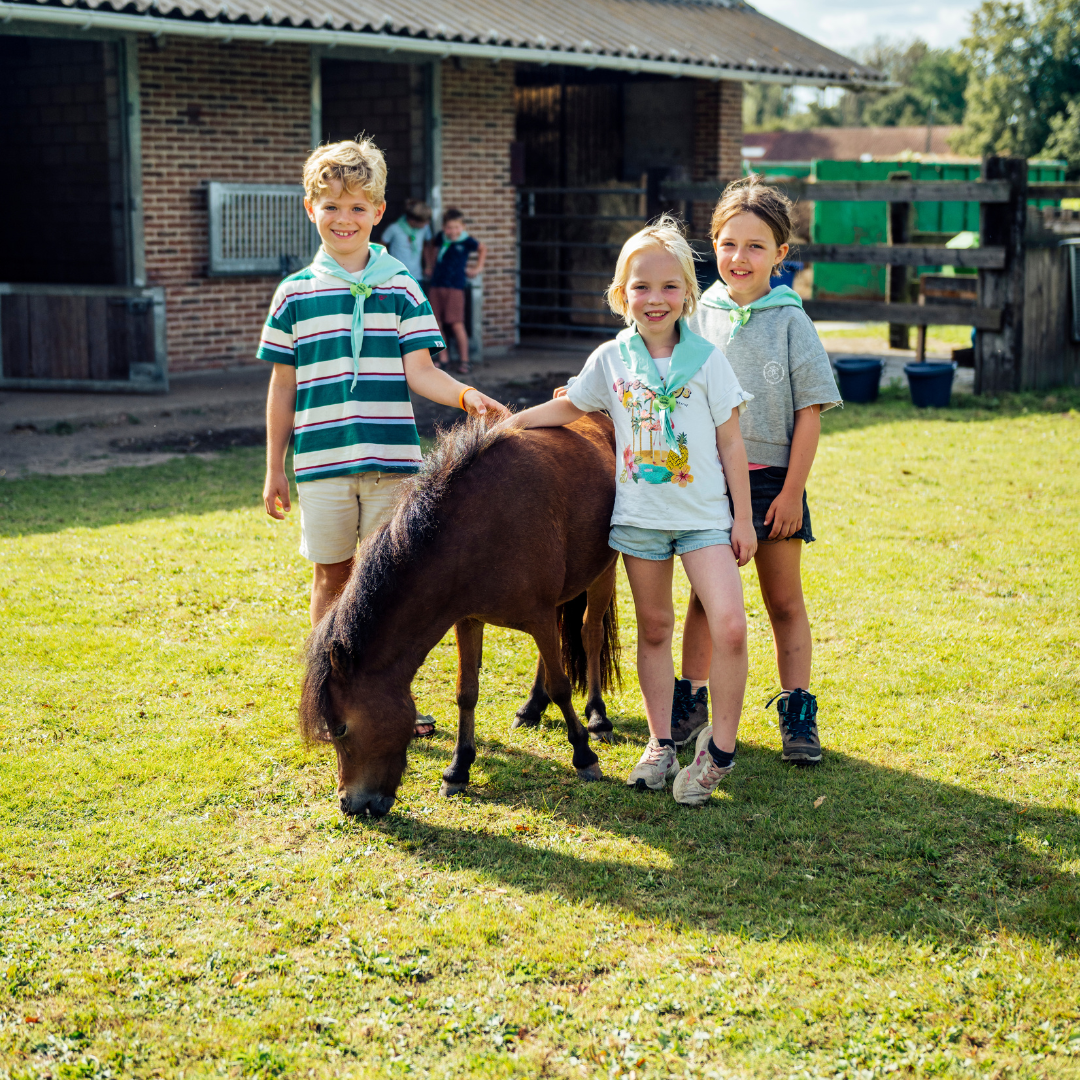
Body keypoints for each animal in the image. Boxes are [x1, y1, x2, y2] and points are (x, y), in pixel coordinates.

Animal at [302, 414, 626, 816]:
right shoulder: (468, 619)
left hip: (604, 573)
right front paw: (458, 769)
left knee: (590, 635)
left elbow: (562, 686)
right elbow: (466, 693)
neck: (479, 530)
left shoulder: (537, 616)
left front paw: (584, 755)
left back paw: (597, 716)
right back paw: (532, 708)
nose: (349, 803)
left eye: (341, 729)